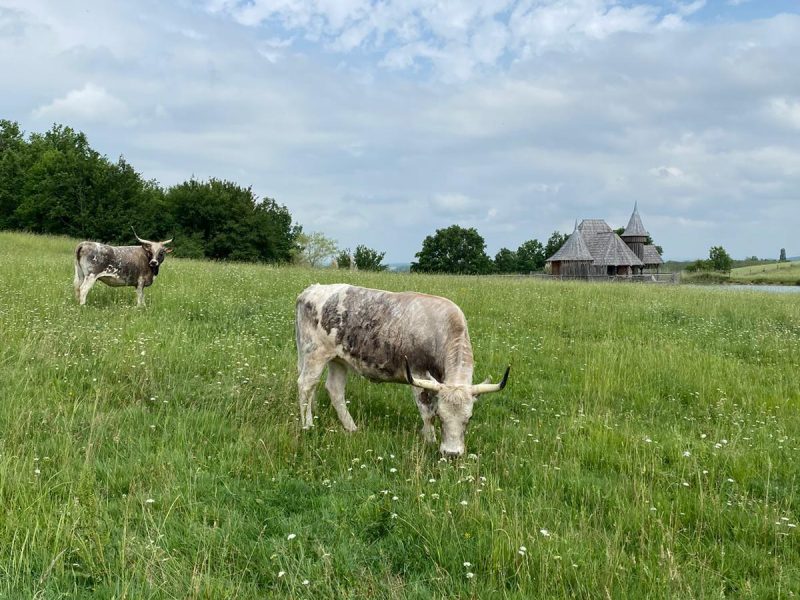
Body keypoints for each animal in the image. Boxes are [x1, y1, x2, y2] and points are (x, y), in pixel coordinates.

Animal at [295, 283, 510, 457]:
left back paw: (352, 428)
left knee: (334, 390)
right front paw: (430, 440)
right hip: (314, 354)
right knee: (306, 385)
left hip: (338, 360)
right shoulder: (417, 373)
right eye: (441, 417)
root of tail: (311, 289)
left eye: (469, 418)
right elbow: (426, 410)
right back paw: (308, 425)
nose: (451, 454)